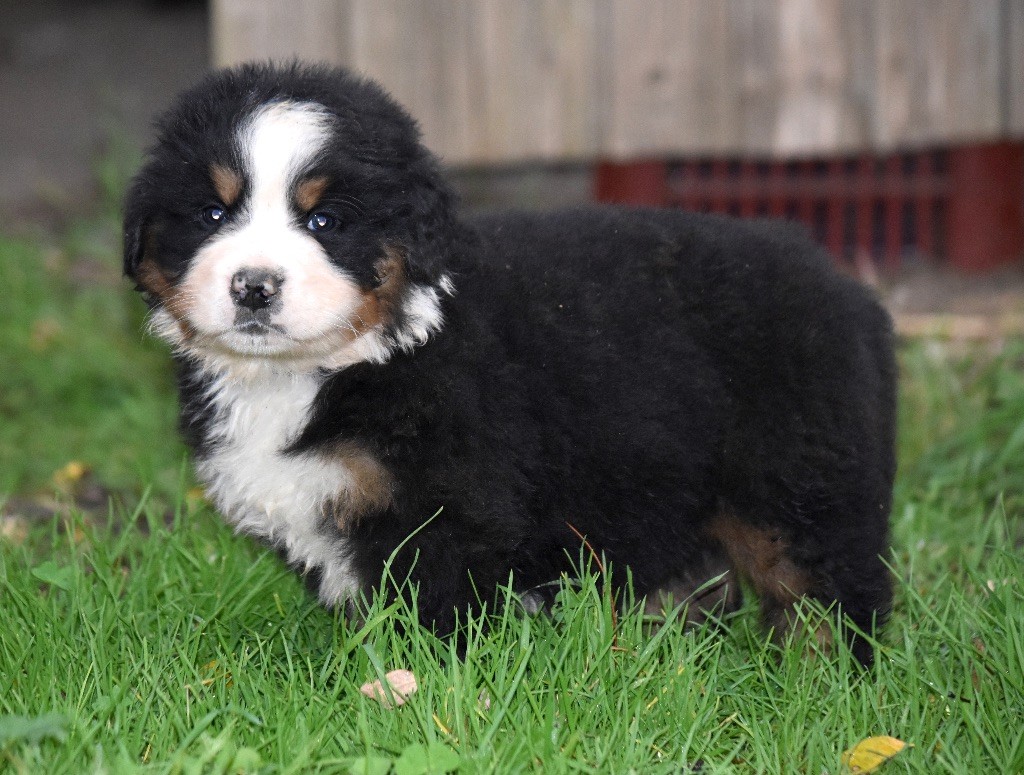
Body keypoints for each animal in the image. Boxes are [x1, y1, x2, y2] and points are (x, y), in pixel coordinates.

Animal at [123, 63, 897, 663]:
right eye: (212, 214)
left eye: (325, 221)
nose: (253, 286)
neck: (341, 363)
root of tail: (849, 292)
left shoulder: (449, 511)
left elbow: (431, 619)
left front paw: (407, 688)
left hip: (799, 478)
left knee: (829, 589)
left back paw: (821, 677)